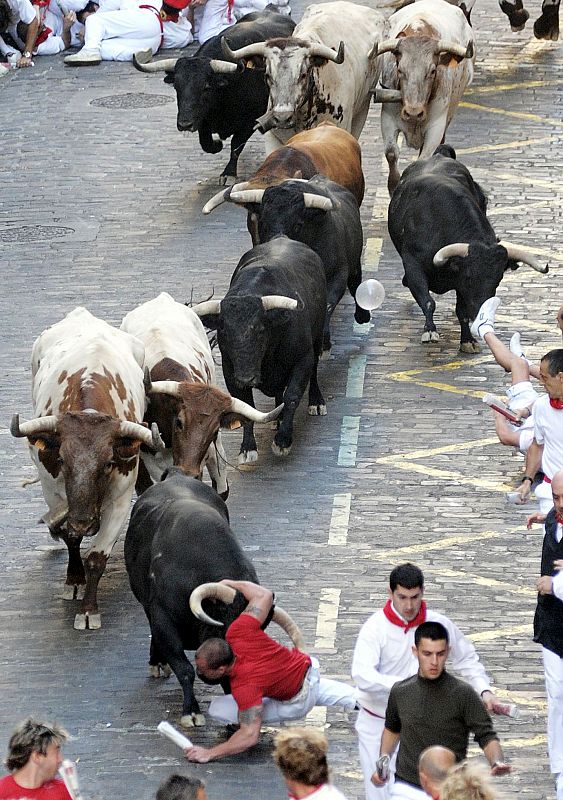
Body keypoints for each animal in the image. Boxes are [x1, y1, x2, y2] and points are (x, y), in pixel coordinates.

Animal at [374, 0, 476, 193]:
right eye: (400, 69)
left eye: (433, 71)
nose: (413, 113)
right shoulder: (388, 119)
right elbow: (391, 153)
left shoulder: (436, 127)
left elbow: (423, 158)